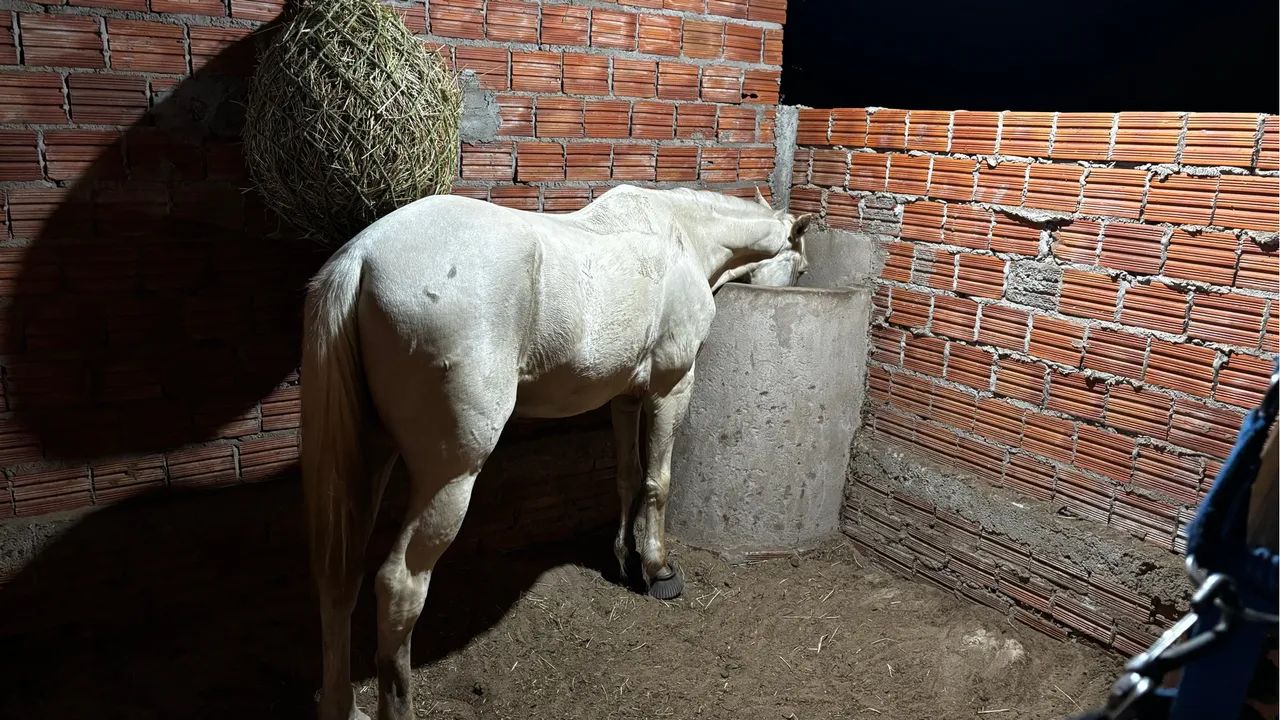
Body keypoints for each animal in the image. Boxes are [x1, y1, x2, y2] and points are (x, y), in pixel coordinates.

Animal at [300, 184, 815, 720]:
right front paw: (657, 569)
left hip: (369, 455)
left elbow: (628, 476)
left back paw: (341, 706)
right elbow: (658, 481)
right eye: (800, 269)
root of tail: (361, 257)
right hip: (449, 477)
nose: (795, 286)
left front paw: (622, 557)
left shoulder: (624, 396)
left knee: (338, 575)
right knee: (398, 585)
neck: (683, 235)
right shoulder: (671, 387)